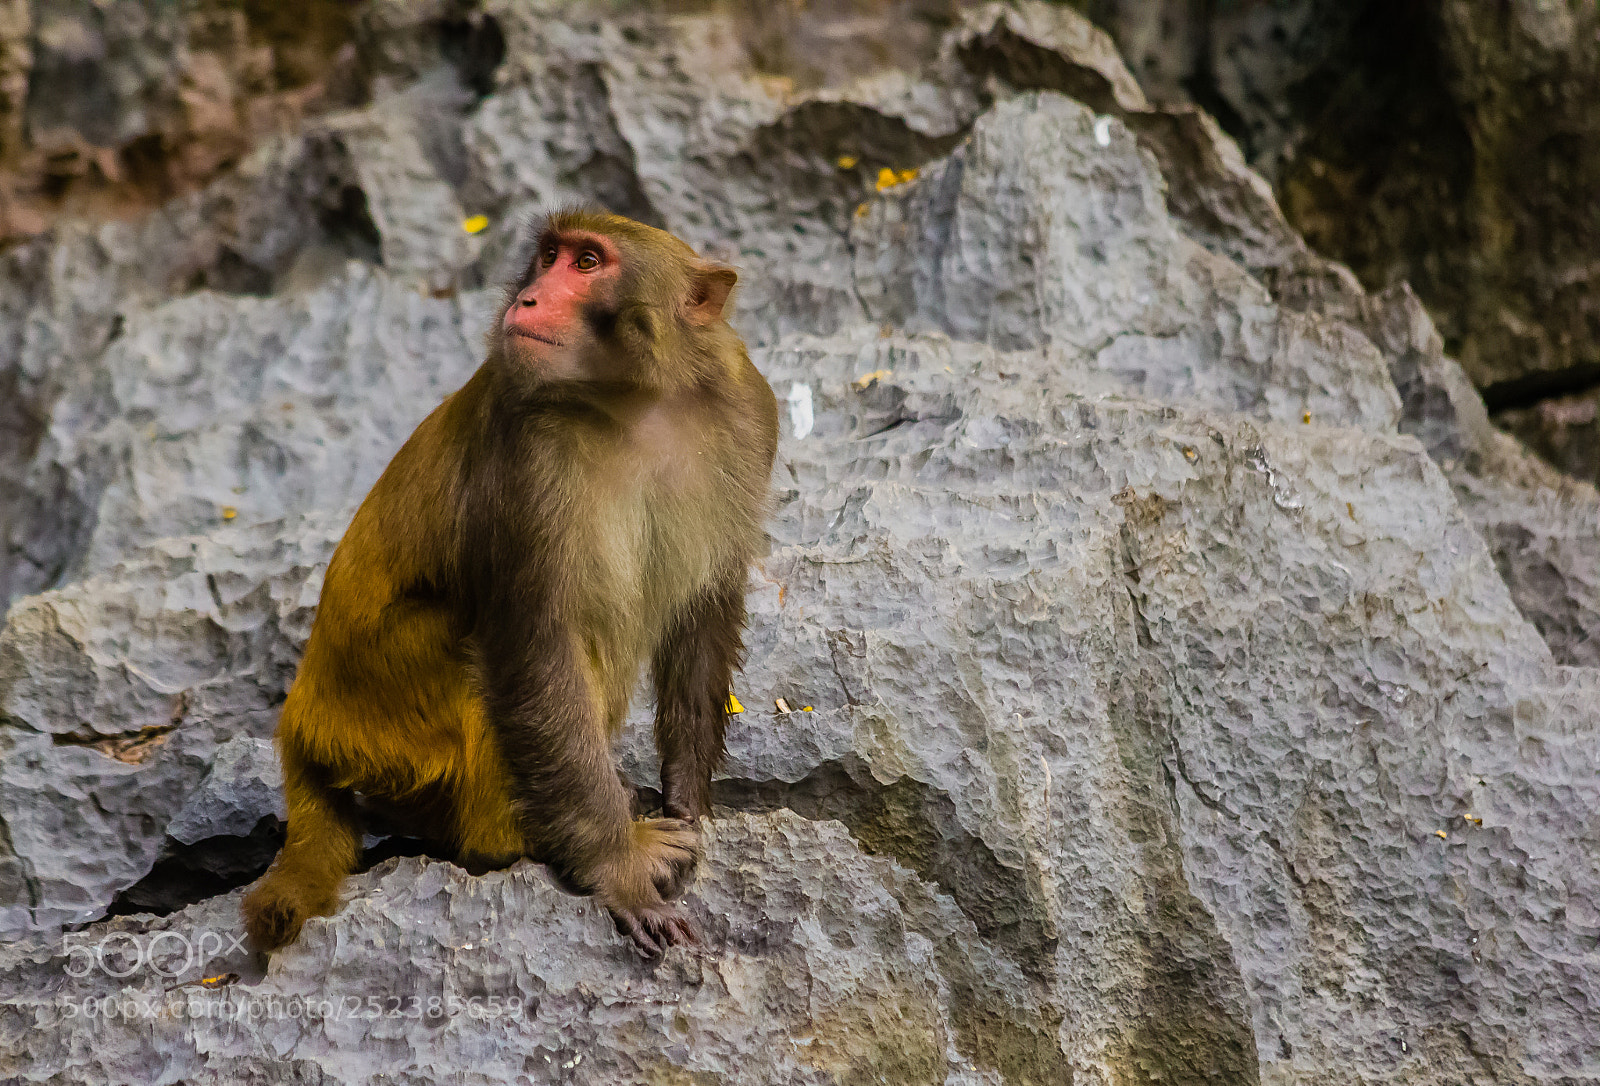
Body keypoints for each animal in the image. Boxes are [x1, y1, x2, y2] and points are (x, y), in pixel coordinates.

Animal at [241, 209, 778, 956]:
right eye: (548, 257)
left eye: (587, 263)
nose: (527, 298)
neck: (639, 400)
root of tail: (303, 725)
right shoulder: (527, 457)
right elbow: (536, 645)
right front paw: (621, 866)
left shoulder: (748, 414)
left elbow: (705, 611)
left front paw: (687, 800)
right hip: (387, 717)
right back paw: (512, 842)